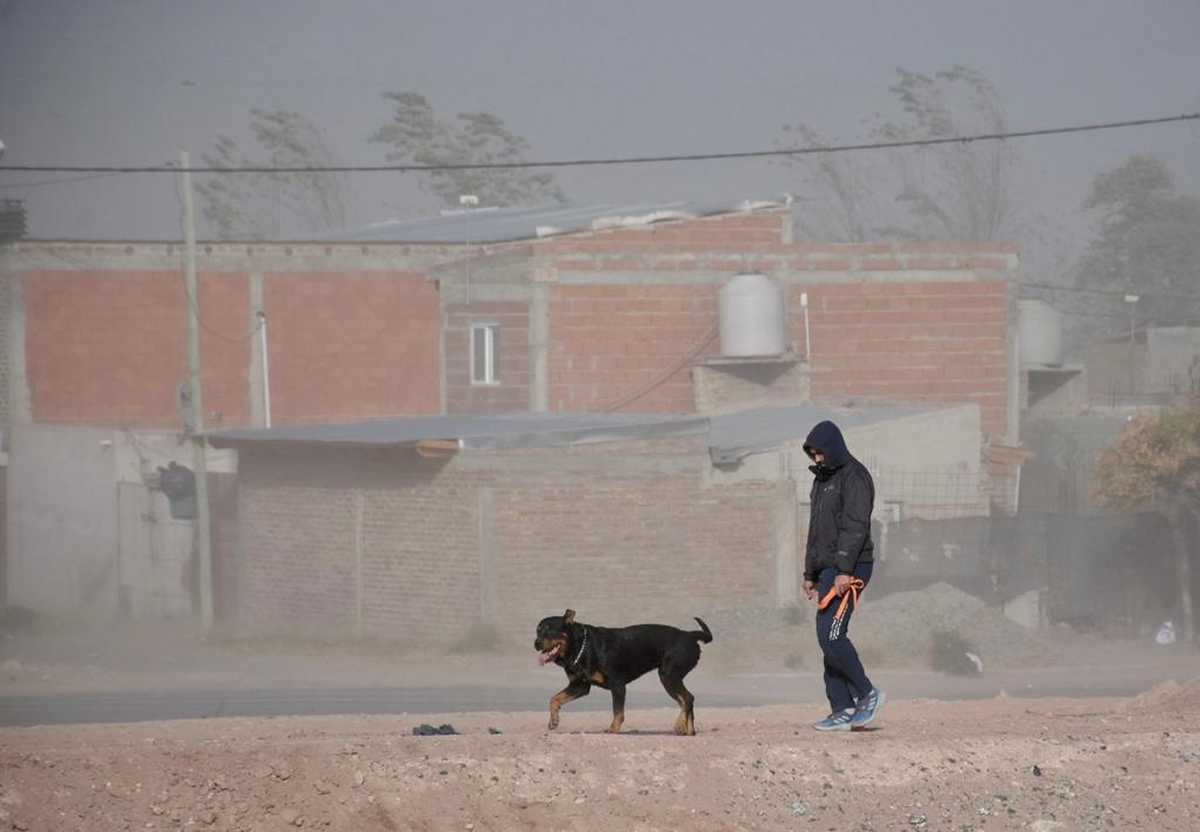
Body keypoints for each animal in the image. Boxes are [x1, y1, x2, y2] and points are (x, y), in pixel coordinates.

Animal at [535, 609, 710, 734]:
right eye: (537, 631)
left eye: (550, 630)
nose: (536, 643)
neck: (580, 647)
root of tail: (690, 635)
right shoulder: (580, 686)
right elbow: (555, 699)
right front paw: (553, 721)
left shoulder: (617, 685)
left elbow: (618, 712)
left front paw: (613, 729)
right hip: (670, 677)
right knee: (685, 700)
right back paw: (685, 728)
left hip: (668, 675)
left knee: (687, 698)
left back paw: (684, 728)